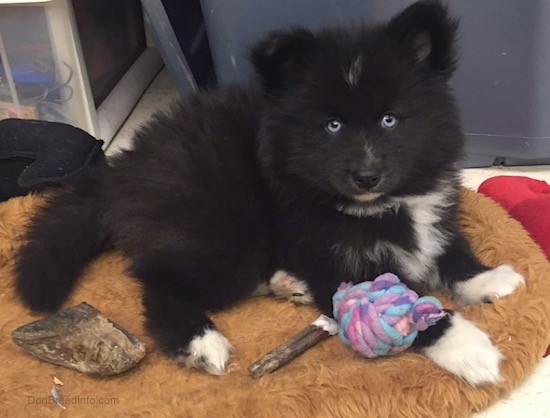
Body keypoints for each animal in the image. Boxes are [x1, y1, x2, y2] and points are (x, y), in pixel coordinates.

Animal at [15, 0, 528, 386]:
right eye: (332, 126)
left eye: (390, 119)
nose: (366, 176)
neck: (376, 207)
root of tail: (124, 166)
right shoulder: (333, 258)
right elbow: (411, 307)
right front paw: (468, 347)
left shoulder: (433, 214)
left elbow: (450, 250)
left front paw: (488, 279)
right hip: (224, 234)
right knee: (160, 281)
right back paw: (200, 341)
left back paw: (285, 282)